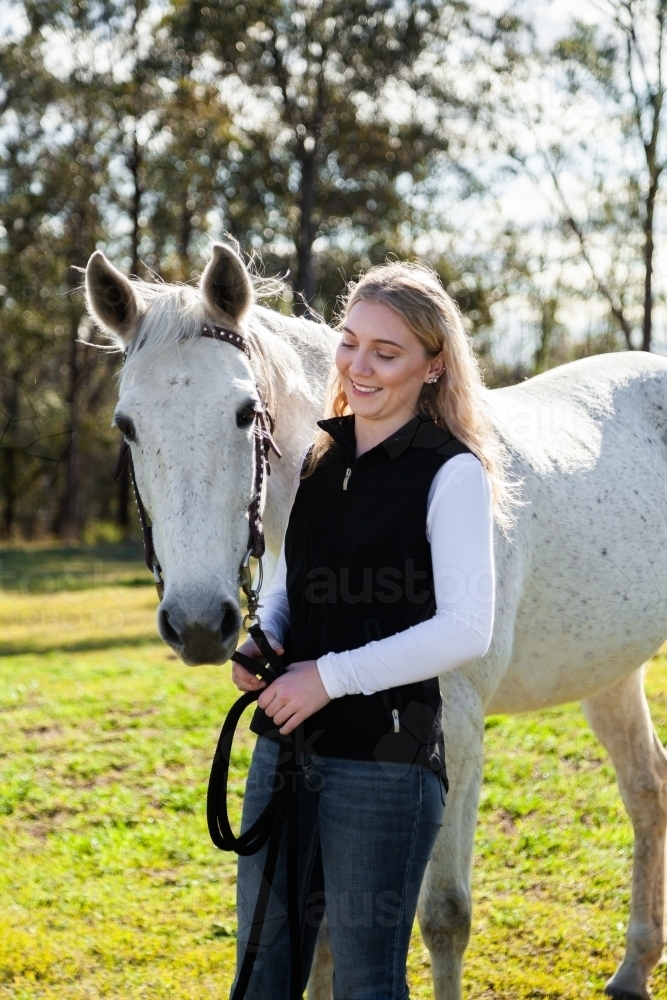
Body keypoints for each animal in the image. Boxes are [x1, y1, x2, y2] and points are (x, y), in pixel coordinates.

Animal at [85, 242, 667, 1000]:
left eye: (244, 412)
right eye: (127, 425)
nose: (198, 623)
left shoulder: (458, 728)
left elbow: (444, 915)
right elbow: (324, 932)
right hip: (609, 673)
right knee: (647, 792)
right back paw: (633, 969)